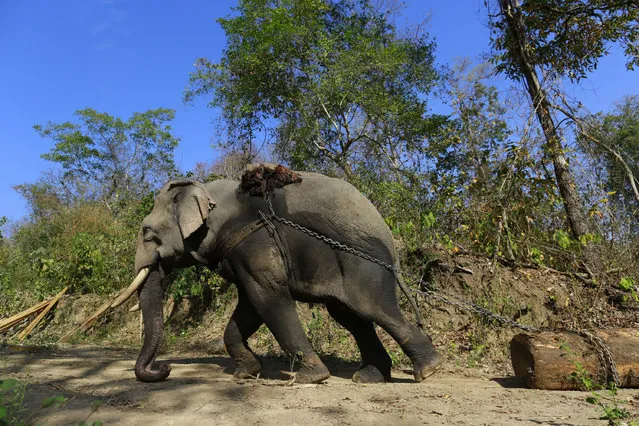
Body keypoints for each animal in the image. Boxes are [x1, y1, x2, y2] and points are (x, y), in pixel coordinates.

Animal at [114, 166, 444, 382]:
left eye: (147, 233)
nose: (166, 369)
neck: (205, 190)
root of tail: (391, 241)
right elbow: (249, 305)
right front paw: (245, 373)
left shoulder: (254, 238)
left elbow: (268, 297)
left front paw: (312, 378)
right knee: (351, 318)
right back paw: (369, 378)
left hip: (362, 264)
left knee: (373, 309)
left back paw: (428, 370)